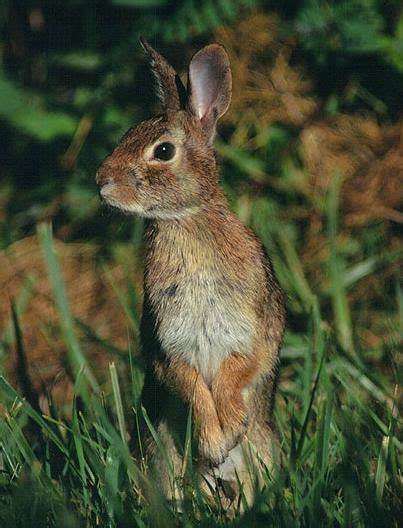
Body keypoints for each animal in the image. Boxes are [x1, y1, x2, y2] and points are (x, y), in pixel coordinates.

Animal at [96, 37, 286, 508]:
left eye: (163, 151)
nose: (101, 181)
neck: (185, 219)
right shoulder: (170, 344)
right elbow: (191, 385)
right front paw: (214, 443)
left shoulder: (250, 329)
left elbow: (240, 371)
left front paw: (229, 430)